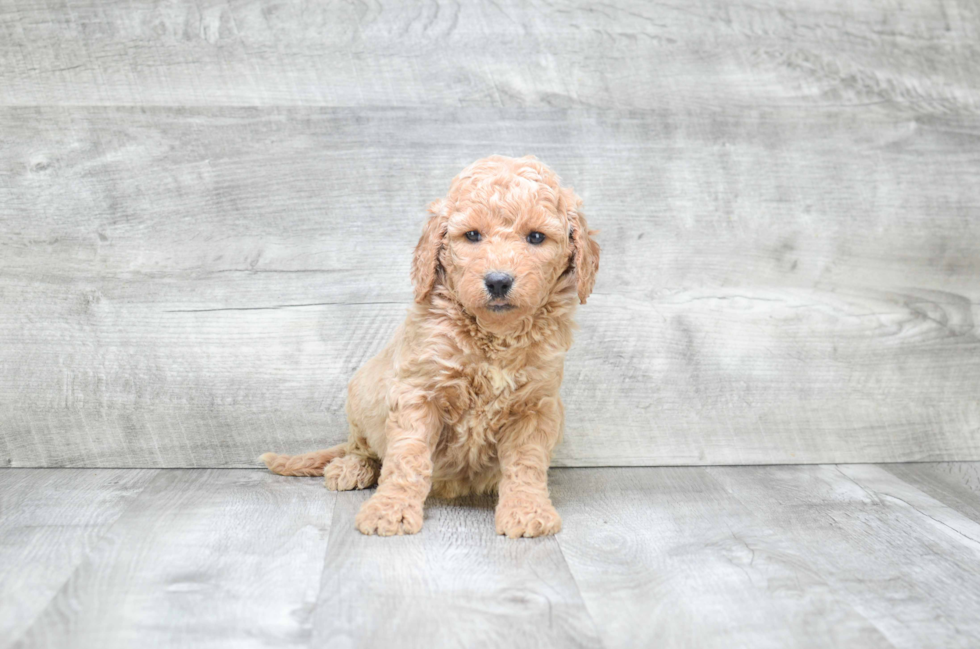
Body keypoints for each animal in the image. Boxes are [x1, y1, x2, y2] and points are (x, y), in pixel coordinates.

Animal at [260, 153, 596, 536]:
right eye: (472, 235)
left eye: (536, 237)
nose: (498, 281)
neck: (494, 337)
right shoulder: (417, 393)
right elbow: (407, 457)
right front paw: (390, 509)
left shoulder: (536, 406)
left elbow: (526, 463)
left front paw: (526, 510)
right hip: (361, 394)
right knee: (363, 448)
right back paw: (352, 468)